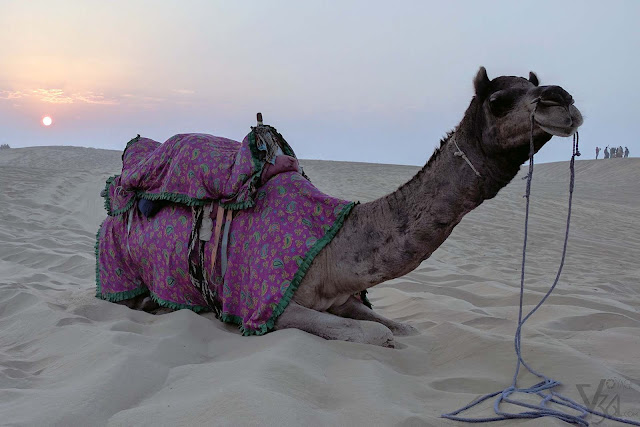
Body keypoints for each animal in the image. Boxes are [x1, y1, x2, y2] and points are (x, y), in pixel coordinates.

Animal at [114, 67, 580, 348]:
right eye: (499, 101)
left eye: (535, 86)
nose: (561, 98)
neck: (333, 251)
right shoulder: (265, 305)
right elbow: (372, 334)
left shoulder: (340, 295)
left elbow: (399, 326)